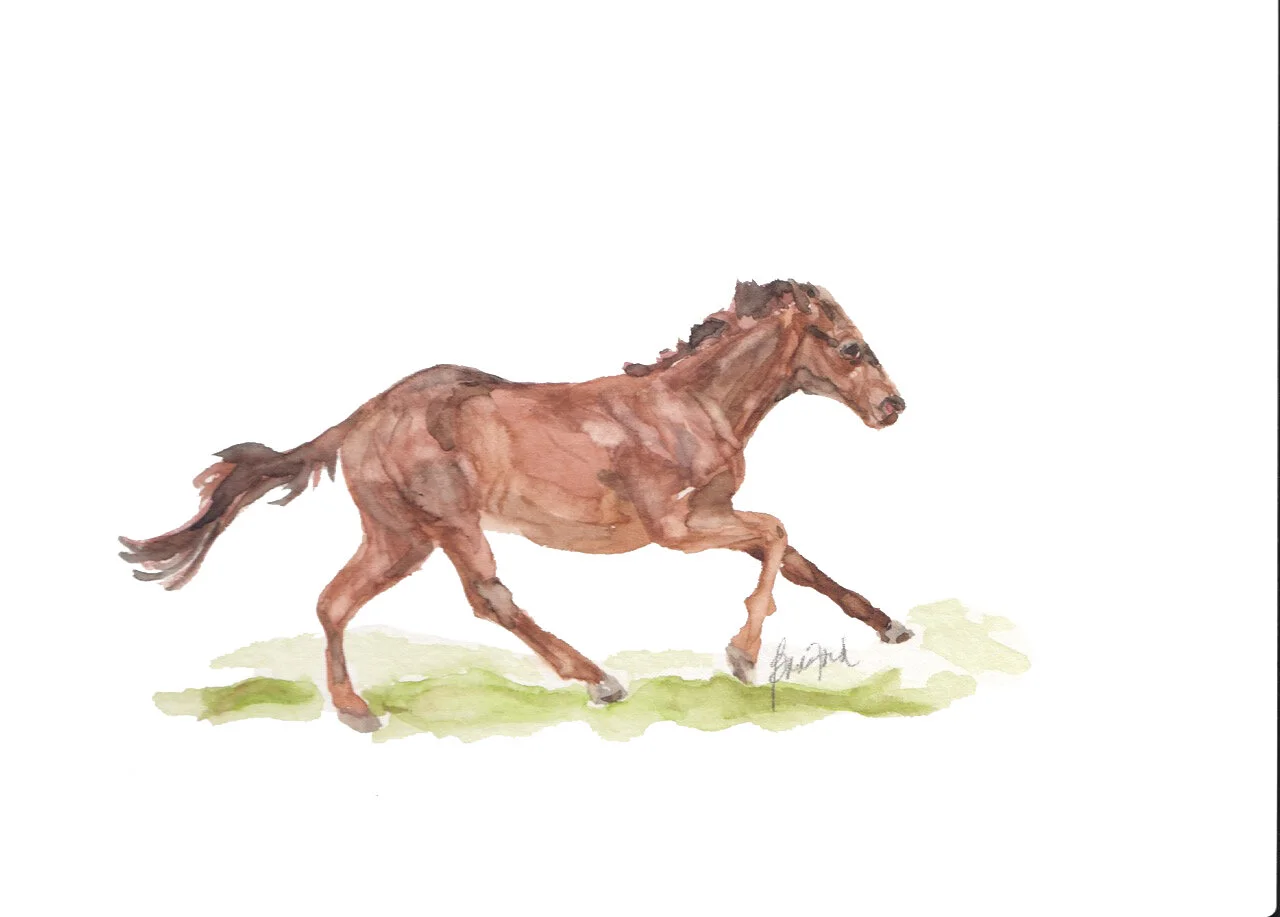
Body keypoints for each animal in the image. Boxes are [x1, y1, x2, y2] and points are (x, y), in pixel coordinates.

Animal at [120, 279, 912, 732]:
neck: (692, 406)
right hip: (448, 524)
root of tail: (358, 420)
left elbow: (802, 561)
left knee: (334, 601)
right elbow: (778, 532)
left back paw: (355, 710)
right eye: (850, 346)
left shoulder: (715, 513)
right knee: (488, 596)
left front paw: (892, 627)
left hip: (399, 536)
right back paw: (599, 680)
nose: (893, 407)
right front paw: (743, 656)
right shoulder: (676, 526)